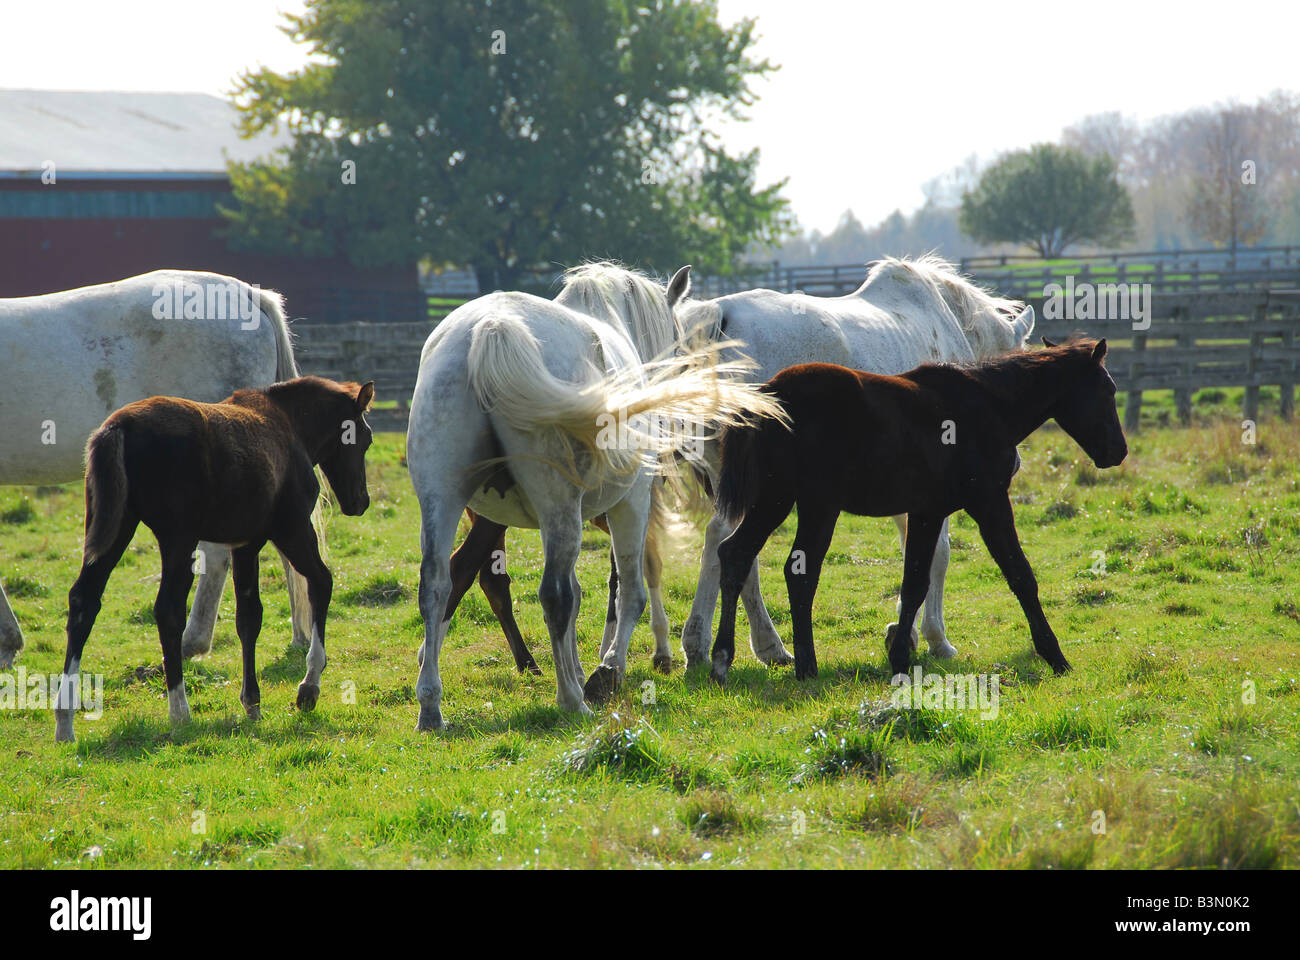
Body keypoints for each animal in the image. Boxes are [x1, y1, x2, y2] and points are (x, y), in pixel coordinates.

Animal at [53, 374, 374, 738]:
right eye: (365, 439)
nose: (360, 501)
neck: (288, 424)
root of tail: (119, 426)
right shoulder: (291, 531)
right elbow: (322, 582)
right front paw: (309, 686)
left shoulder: (246, 544)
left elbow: (249, 619)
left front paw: (252, 703)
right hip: (178, 539)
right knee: (167, 610)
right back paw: (180, 712)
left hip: (115, 528)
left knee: (84, 601)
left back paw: (65, 721)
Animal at [408, 261, 780, 723]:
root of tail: (490, 329)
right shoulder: (631, 504)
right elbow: (629, 592)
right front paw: (607, 670)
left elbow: (585, 594)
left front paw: (585, 666)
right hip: (557, 508)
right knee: (552, 595)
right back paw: (571, 699)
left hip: (443, 501)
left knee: (436, 585)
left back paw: (430, 706)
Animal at [676, 257, 1040, 671]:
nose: (1015, 462)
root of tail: (719, 315)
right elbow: (937, 556)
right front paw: (933, 638)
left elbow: (914, 554)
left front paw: (904, 632)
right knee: (728, 544)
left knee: (726, 546)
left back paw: (752, 644)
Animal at [712, 335, 1128, 681]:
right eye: (1108, 389)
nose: (1118, 452)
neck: (988, 406)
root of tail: (770, 393)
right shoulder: (990, 502)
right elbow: (1021, 575)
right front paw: (1055, 656)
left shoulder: (928, 512)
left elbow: (915, 583)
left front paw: (899, 658)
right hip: (817, 506)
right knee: (799, 572)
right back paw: (805, 666)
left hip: (775, 500)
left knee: (735, 554)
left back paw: (722, 659)